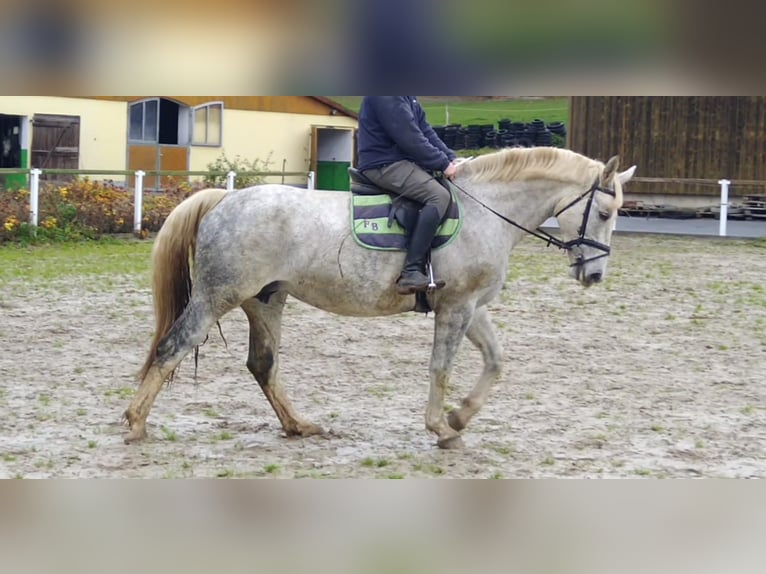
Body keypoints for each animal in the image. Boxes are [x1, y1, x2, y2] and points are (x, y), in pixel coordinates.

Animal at [124, 147, 636, 449]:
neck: (485, 211)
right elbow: (441, 368)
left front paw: (460, 417)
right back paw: (135, 423)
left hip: (266, 301)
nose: (594, 274)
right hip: (217, 298)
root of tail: (224, 200)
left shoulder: (471, 307)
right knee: (171, 348)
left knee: (263, 366)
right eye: (605, 211)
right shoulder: (456, 307)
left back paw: (298, 426)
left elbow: (495, 361)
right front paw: (441, 428)